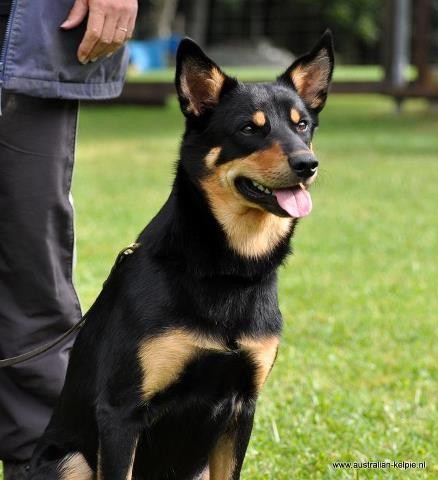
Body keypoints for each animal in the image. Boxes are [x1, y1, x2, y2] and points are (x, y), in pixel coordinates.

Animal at [29, 31, 334, 480]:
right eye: (249, 128)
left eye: (302, 125)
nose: (307, 164)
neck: (226, 268)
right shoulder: (121, 411)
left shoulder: (242, 408)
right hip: (71, 460)